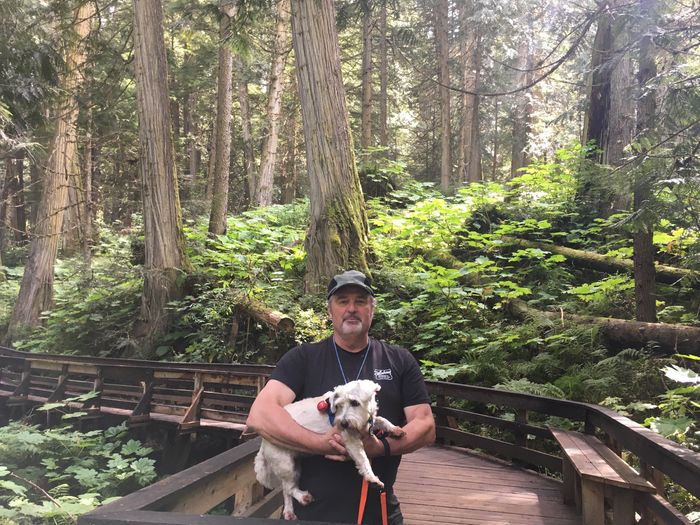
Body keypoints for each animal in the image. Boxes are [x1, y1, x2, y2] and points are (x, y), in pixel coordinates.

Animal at [253, 378, 404, 516]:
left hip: (295, 466)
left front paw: (395, 429)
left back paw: (289, 511)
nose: (343, 423)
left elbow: (382, 420)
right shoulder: (351, 441)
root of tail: (263, 443)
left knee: (286, 488)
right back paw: (303, 497)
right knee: (288, 488)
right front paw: (372, 478)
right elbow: (363, 460)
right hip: (286, 465)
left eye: (355, 403)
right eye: (339, 405)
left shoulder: (367, 424)